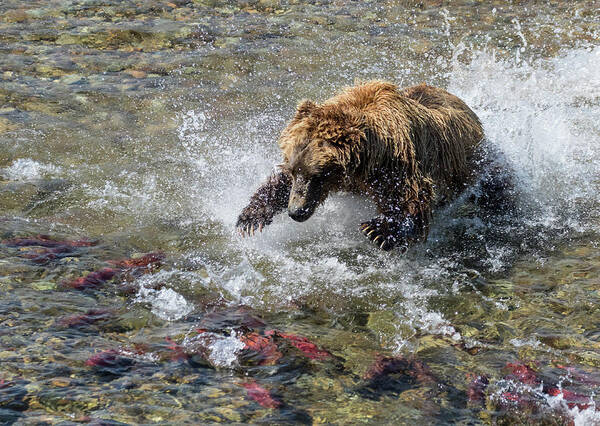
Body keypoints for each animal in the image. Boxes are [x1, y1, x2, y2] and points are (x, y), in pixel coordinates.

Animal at [236, 80, 488, 250]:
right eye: (293, 170)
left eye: (318, 174)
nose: (296, 211)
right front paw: (250, 218)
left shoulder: (395, 165)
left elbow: (410, 199)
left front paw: (377, 230)